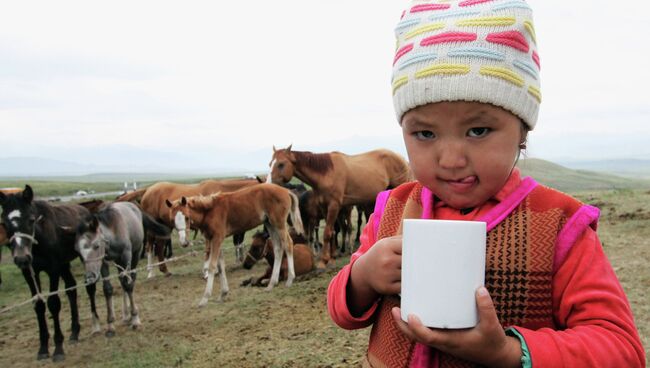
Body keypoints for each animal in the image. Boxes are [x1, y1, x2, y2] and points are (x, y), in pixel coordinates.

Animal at [0, 185, 92, 360]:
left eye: (31, 220)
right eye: (5, 224)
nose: (21, 258)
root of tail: (84, 209)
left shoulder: (53, 269)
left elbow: (53, 303)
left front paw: (58, 348)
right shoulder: (29, 273)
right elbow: (38, 305)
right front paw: (43, 348)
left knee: (90, 285)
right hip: (64, 264)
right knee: (71, 288)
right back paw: (74, 332)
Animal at [73, 201, 170, 336]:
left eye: (96, 246)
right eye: (78, 251)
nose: (90, 276)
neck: (113, 231)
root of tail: (134, 206)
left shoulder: (126, 256)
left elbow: (129, 284)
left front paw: (135, 319)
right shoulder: (104, 262)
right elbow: (108, 289)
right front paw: (110, 326)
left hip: (135, 254)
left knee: (130, 279)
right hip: (118, 261)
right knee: (122, 281)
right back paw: (126, 315)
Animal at [126, 177, 258, 278]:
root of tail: (148, 190)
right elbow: (209, 249)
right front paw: (208, 271)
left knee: (159, 245)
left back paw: (165, 270)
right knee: (150, 246)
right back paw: (150, 272)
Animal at [165, 183, 302, 306]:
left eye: (187, 217)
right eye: (172, 220)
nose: (184, 242)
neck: (209, 211)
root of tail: (285, 190)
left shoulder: (217, 238)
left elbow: (212, 266)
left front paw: (205, 298)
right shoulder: (215, 239)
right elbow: (220, 266)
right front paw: (223, 294)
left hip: (279, 223)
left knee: (288, 244)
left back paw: (290, 279)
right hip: (269, 223)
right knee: (278, 248)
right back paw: (271, 284)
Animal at [268, 145, 410, 268]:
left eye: (281, 164)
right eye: (270, 164)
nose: (268, 185)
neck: (326, 174)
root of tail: (401, 157)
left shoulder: (334, 206)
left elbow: (327, 233)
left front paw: (323, 260)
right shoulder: (324, 208)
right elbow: (332, 232)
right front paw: (331, 257)